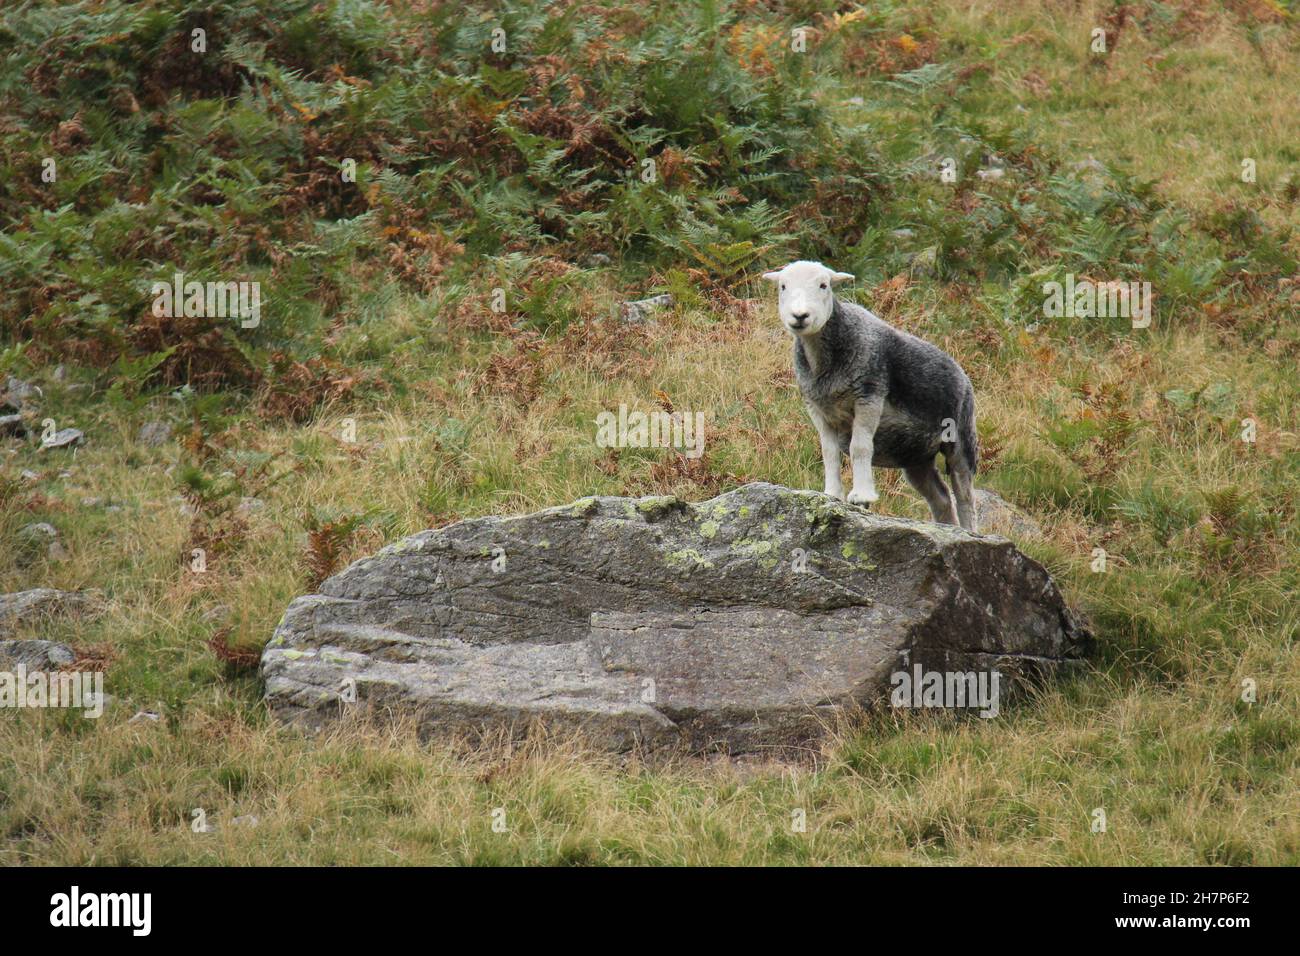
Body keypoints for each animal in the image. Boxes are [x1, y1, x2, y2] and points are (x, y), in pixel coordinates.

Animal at [762, 260, 979, 532]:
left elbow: (860, 447)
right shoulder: (818, 409)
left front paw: (860, 495)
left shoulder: (869, 396)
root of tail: (961, 372)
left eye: (824, 285)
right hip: (915, 457)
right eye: (783, 286)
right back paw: (947, 528)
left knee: (964, 494)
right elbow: (829, 452)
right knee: (940, 497)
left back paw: (968, 531)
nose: (800, 316)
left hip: (961, 436)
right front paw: (831, 494)